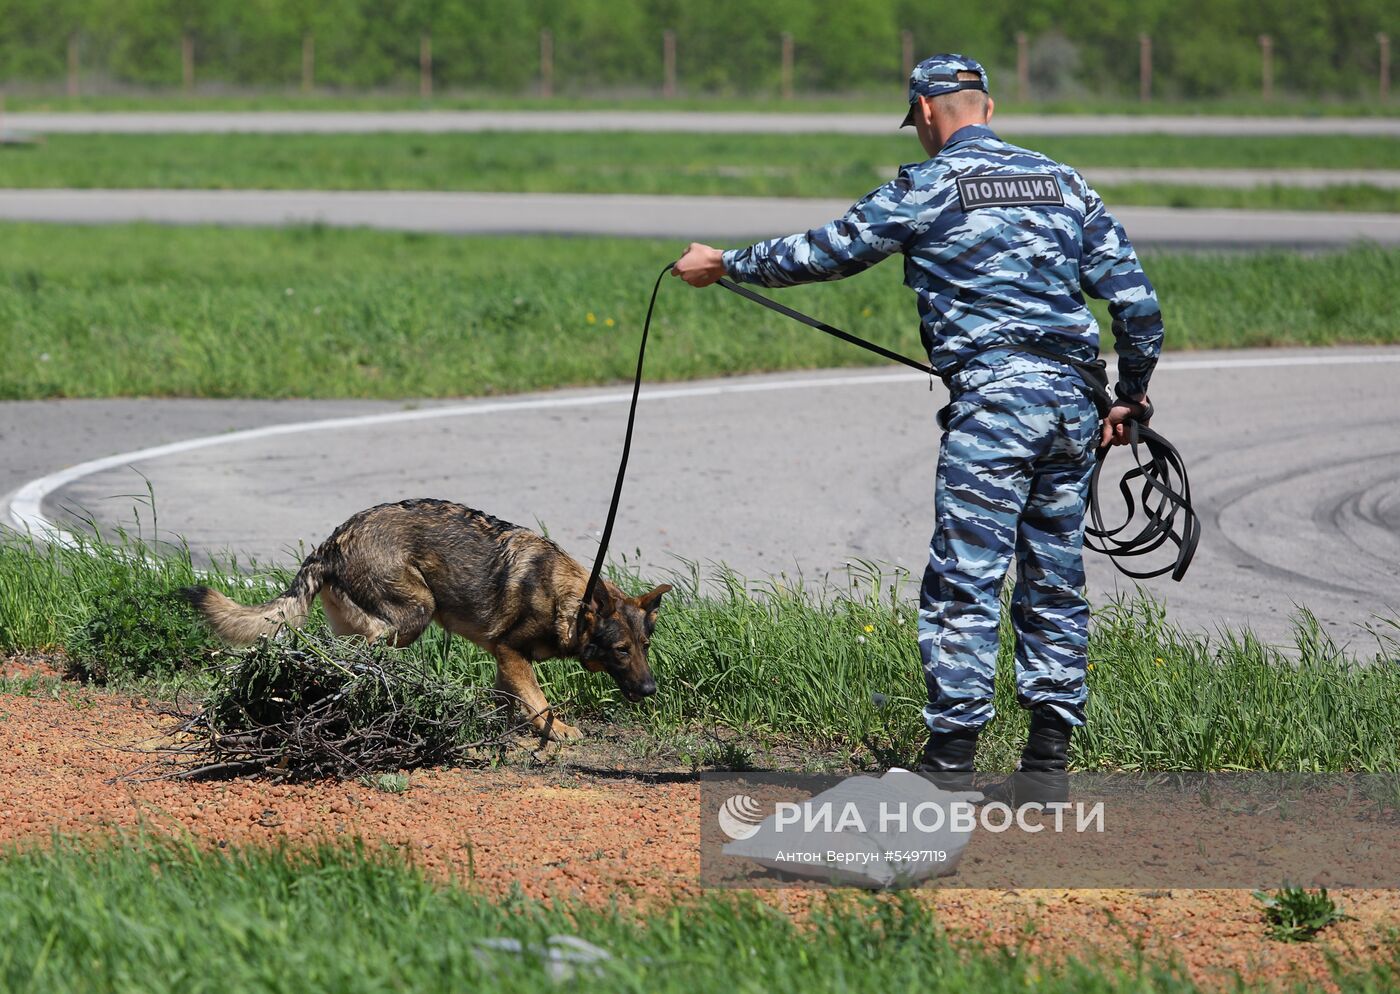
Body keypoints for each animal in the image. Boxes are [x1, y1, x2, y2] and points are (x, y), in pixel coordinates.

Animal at [182, 498, 672, 739]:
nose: (652, 691)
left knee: (338, 649)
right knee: (365, 647)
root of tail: (332, 542)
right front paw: (558, 732)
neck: (568, 599)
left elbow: (511, 700)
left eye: (644, 648)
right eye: (621, 650)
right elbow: (540, 702)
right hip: (416, 612)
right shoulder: (511, 652)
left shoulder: (504, 660)